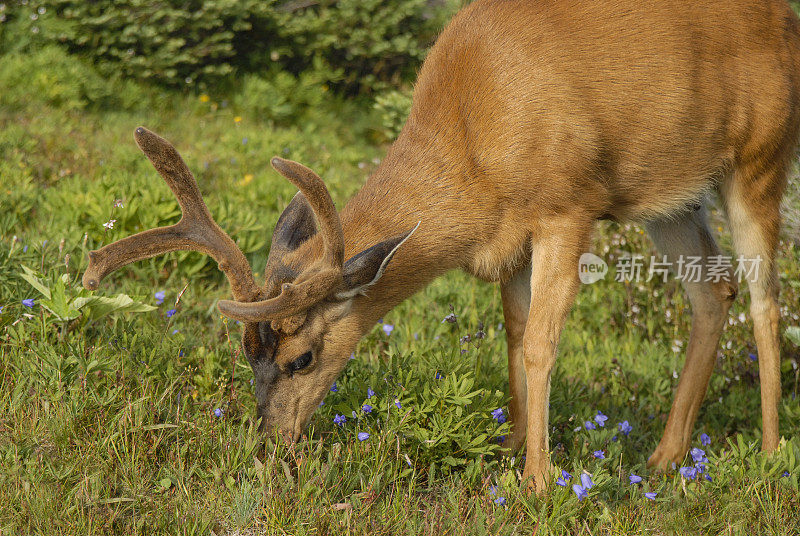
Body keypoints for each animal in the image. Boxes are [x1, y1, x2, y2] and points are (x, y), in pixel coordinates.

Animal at [81, 0, 800, 494]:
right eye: (245, 352)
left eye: (303, 356)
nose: (272, 445)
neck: (471, 143)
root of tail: (785, 19)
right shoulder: (507, 242)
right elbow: (513, 336)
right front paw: (510, 449)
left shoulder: (567, 206)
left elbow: (541, 345)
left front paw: (539, 481)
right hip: (670, 194)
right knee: (711, 288)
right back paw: (665, 456)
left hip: (759, 160)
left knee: (765, 299)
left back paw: (768, 454)